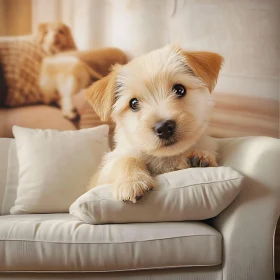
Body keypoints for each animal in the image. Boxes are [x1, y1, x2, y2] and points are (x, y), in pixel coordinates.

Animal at [85, 44, 223, 202]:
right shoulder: (109, 166)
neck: (165, 158)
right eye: (133, 103)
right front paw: (132, 182)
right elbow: (125, 159)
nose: (164, 127)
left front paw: (198, 156)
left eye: (180, 89)